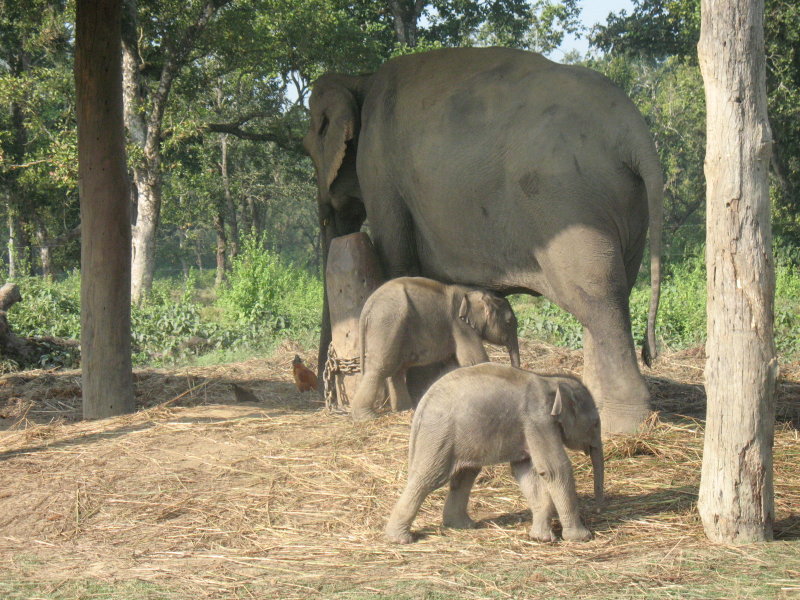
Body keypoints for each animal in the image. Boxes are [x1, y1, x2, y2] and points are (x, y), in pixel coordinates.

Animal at [350, 278, 520, 422]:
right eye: (509, 322)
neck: (472, 291)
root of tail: (368, 304)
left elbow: (452, 364)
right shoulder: (460, 326)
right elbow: (474, 360)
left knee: (397, 369)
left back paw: (405, 409)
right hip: (387, 322)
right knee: (381, 367)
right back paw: (367, 416)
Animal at [384, 360, 604, 544]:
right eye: (595, 424)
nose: (599, 509)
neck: (551, 380)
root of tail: (422, 404)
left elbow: (526, 473)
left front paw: (541, 538)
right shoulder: (538, 420)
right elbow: (553, 469)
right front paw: (581, 538)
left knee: (465, 474)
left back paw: (462, 526)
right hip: (439, 435)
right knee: (428, 478)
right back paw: (400, 539)